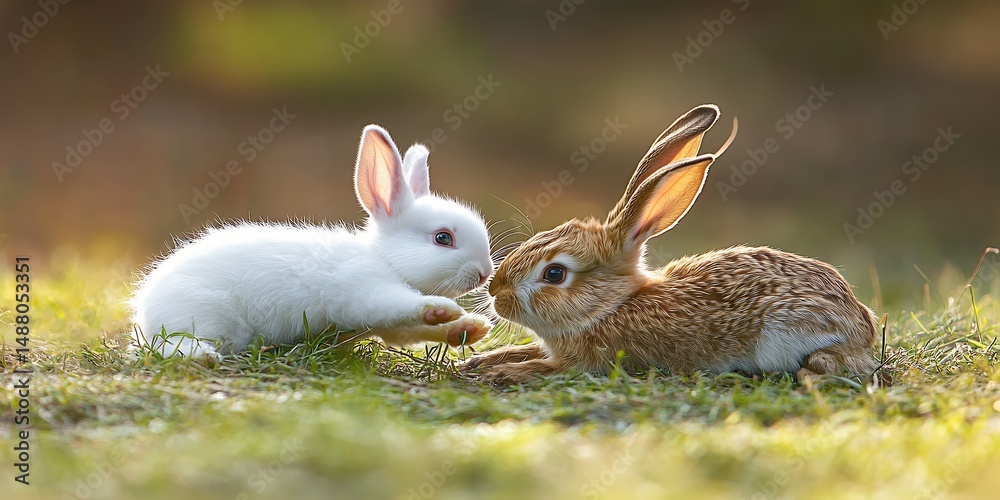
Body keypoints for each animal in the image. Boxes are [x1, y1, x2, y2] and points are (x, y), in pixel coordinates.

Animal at [131, 125, 495, 358]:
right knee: (171, 346)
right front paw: (446, 310)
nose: (484, 274)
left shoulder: (389, 326)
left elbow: (414, 330)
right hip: (204, 318)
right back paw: (203, 357)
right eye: (443, 238)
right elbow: (402, 305)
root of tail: (146, 310)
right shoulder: (364, 291)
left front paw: (470, 329)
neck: (384, 260)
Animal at [461, 104, 879, 385]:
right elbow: (530, 349)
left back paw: (814, 372)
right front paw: (483, 360)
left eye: (554, 273)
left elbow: (549, 366)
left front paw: (504, 372)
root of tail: (861, 322)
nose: (495, 293)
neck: (611, 308)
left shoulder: (593, 361)